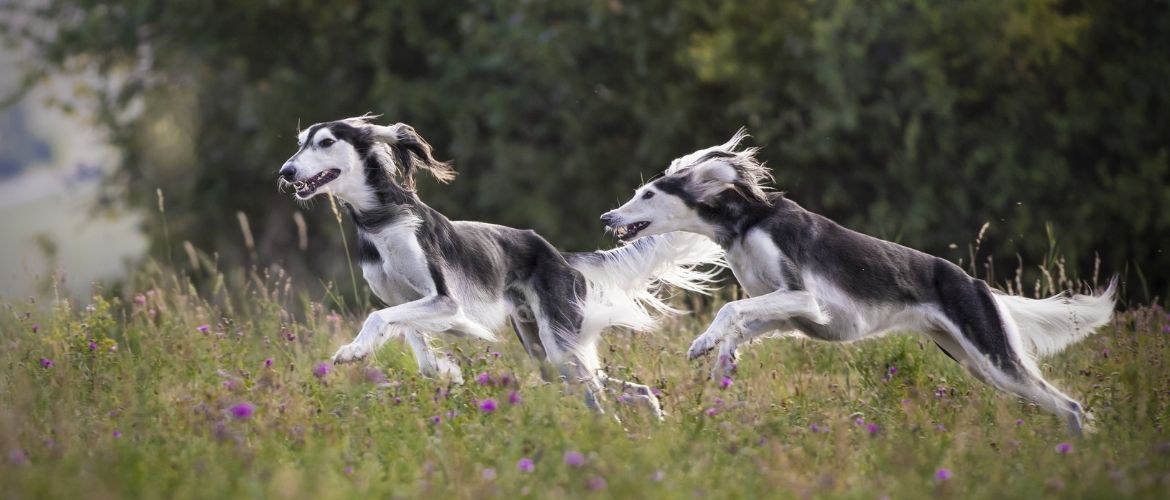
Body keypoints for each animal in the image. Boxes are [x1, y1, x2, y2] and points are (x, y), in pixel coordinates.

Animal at [279, 115, 725, 416]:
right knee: (626, 389)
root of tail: (559, 256)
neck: (382, 220)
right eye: (300, 143)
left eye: (326, 141)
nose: (286, 171)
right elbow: (411, 338)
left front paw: (352, 350)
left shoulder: (444, 301)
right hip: (545, 353)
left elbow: (378, 319)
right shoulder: (410, 303)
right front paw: (444, 370)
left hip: (559, 345)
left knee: (599, 396)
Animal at [599, 131, 1118, 433]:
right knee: (1062, 406)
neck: (747, 220)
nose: (607, 216)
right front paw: (721, 359)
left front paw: (703, 344)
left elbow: (730, 310)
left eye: (648, 194)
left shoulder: (803, 298)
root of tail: (976, 284)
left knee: (1070, 406)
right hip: (977, 362)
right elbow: (742, 324)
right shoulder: (788, 310)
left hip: (994, 356)